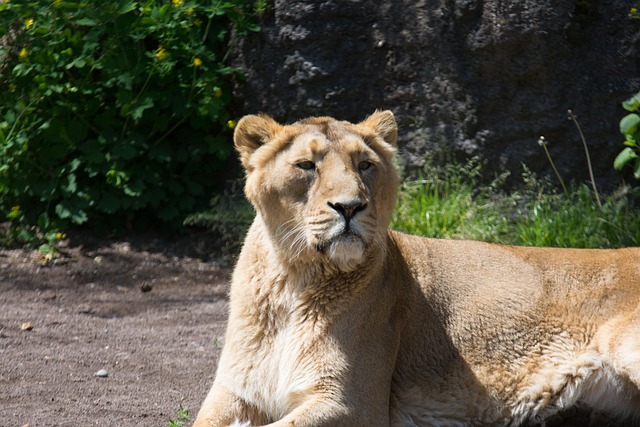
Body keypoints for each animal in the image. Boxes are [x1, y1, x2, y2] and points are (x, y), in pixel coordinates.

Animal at [193, 111, 640, 427]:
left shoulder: (353, 403)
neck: (293, 279)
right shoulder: (233, 392)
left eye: (365, 165)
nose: (350, 207)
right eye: (306, 165)